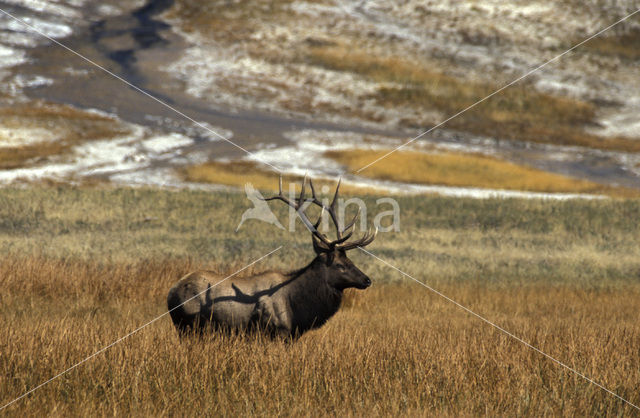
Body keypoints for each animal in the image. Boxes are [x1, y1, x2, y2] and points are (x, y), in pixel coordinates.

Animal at [168, 175, 378, 338]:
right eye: (340, 265)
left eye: (350, 260)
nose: (367, 280)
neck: (298, 310)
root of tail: (171, 293)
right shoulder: (275, 332)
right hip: (188, 327)